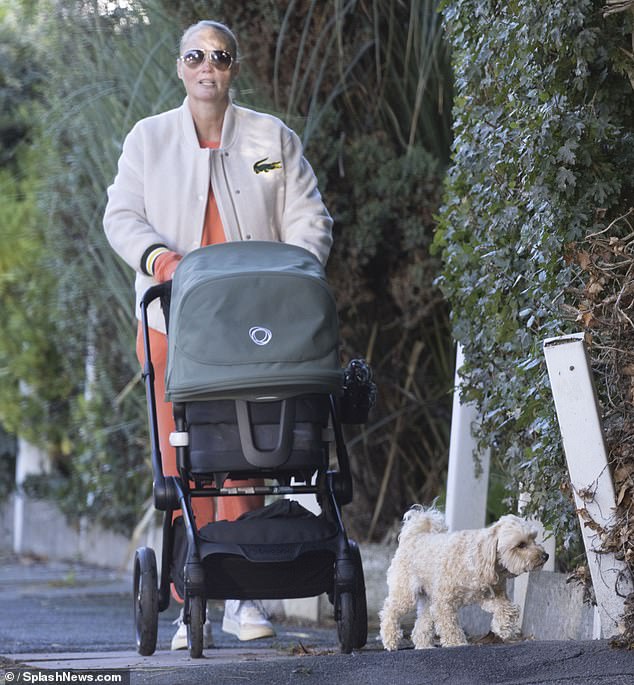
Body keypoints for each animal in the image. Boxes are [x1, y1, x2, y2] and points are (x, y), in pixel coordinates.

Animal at [378, 504, 544, 648]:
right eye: (521, 545)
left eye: (533, 538)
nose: (546, 555)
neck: (478, 558)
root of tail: (413, 537)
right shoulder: (443, 602)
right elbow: (449, 626)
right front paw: (457, 643)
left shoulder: (490, 595)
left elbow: (507, 608)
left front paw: (504, 628)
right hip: (405, 593)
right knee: (389, 610)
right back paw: (390, 639)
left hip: (428, 599)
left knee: (422, 623)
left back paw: (424, 646)